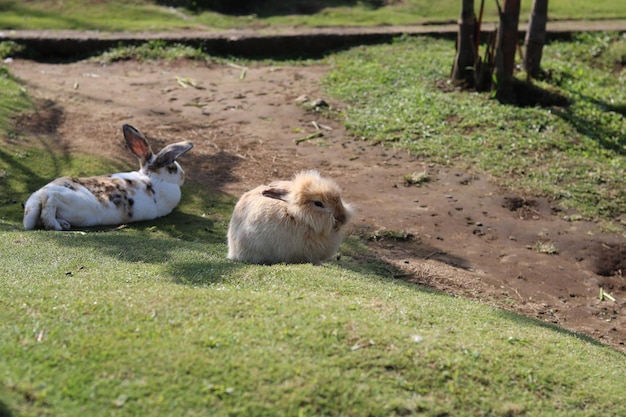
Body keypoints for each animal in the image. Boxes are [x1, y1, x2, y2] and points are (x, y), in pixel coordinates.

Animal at [23, 122, 193, 231]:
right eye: (172, 168)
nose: (183, 176)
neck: (153, 178)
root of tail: (38, 196)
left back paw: (63, 224)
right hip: (74, 202)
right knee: (52, 200)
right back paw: (56, 225)